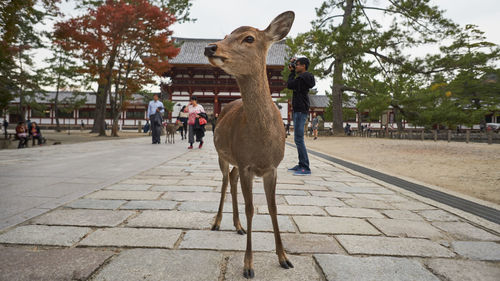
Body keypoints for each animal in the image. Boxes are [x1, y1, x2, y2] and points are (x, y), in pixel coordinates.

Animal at [204, 11, 294, 278]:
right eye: (225, 35)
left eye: (249, 38)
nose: (210, 47)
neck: (261, 142)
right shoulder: (246, 164)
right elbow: (251, 208)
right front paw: (248, 265)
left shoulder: (271, 167)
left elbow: (273, 208)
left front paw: (284, 258)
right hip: (223, 155)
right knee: (225, 181)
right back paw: (217, 222)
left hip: (235, 161)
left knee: (231, 179)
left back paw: (238, 226)